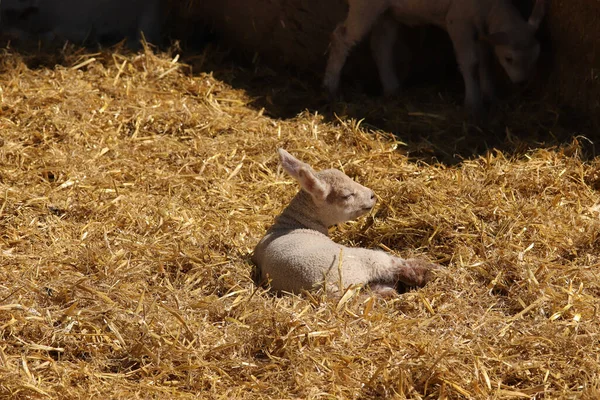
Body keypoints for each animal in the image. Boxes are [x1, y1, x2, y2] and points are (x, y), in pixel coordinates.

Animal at [250, 149, 440, 296]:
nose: (372, 195)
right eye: (347, 195)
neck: (294, 223)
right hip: (361, 261)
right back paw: (434, 270)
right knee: (403, 269)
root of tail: (327, 288)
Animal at [324, 0, 548, 120]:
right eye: (509, 59)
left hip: (387, 10)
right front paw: (473, 103)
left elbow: (485, 63)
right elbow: (471, 62)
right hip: (365, 6)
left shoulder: (482, 31)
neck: (489, 7)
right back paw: (331, 86)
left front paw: (490, 95)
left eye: (537, 57)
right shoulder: (459, 21)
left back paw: (392, 88)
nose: (522, 83)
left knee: (381, 46)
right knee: (341, 37)